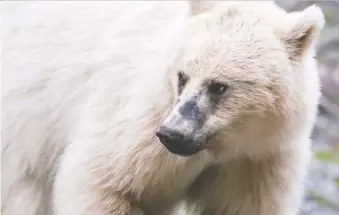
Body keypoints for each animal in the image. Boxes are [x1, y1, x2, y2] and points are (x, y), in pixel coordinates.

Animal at [1, 0, 326, 215]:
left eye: (218, 86)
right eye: (182, 76)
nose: (173, 133)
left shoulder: (258, 158)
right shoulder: (140, 122)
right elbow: (101, 180)